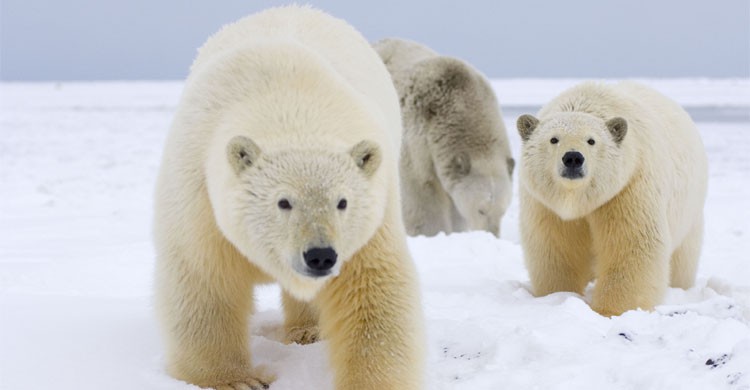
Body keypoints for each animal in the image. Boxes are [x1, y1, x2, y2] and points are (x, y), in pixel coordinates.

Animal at [154, 6, 424, 390]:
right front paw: (236, 380)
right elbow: (205, 281)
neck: (286, 99)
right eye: (283, 202)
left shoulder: (373, 214)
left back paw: (308, 331)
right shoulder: (199, 197)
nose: (320, 255)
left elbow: (373, 290)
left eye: (342, 202)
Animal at [374, 38, 516, 238]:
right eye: (481, 210)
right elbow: (421, 190)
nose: (491, 235)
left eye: (502, 211)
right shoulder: (416, 138)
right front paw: (432, 232)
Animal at [516, 81, 712, 316]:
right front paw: (557, 295)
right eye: (553, 139)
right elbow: (556, 246)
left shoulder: (627, 187)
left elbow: (632, 244)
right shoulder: (545, 204)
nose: (573, 158)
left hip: (689, 213)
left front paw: (611, 311)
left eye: (591, 140)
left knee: (683, 259)